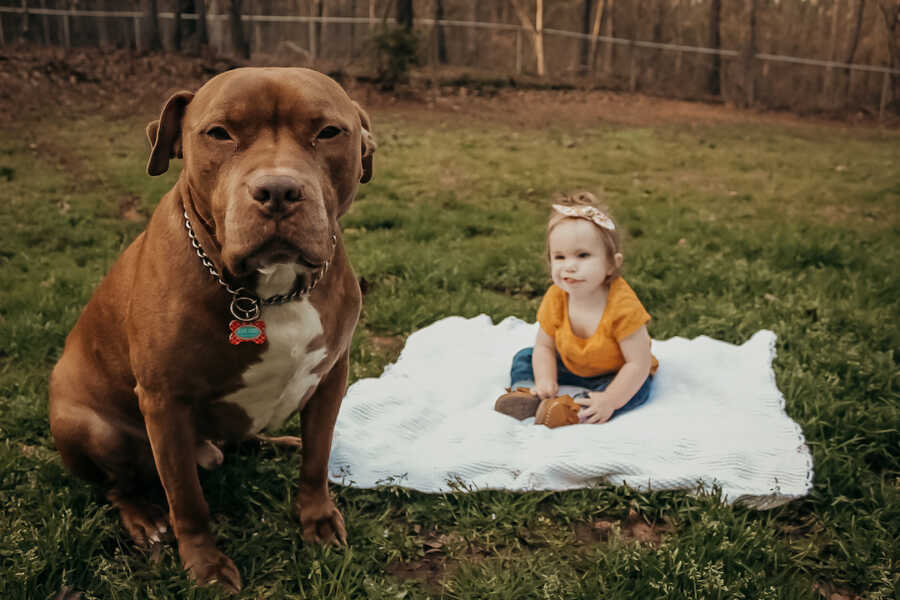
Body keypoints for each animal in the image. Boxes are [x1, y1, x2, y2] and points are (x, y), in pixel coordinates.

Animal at [48, 68, 376, 592]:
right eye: (219, 133)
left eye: (328, 132)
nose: (278, 191)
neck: (267, 290)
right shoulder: (165, 402)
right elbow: (187, 498)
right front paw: (205, 564)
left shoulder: (331, 375)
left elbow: (317, 459)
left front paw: (317, 518)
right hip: (89, 425)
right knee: (118, 485)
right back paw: (143, 517)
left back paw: (279, 443)